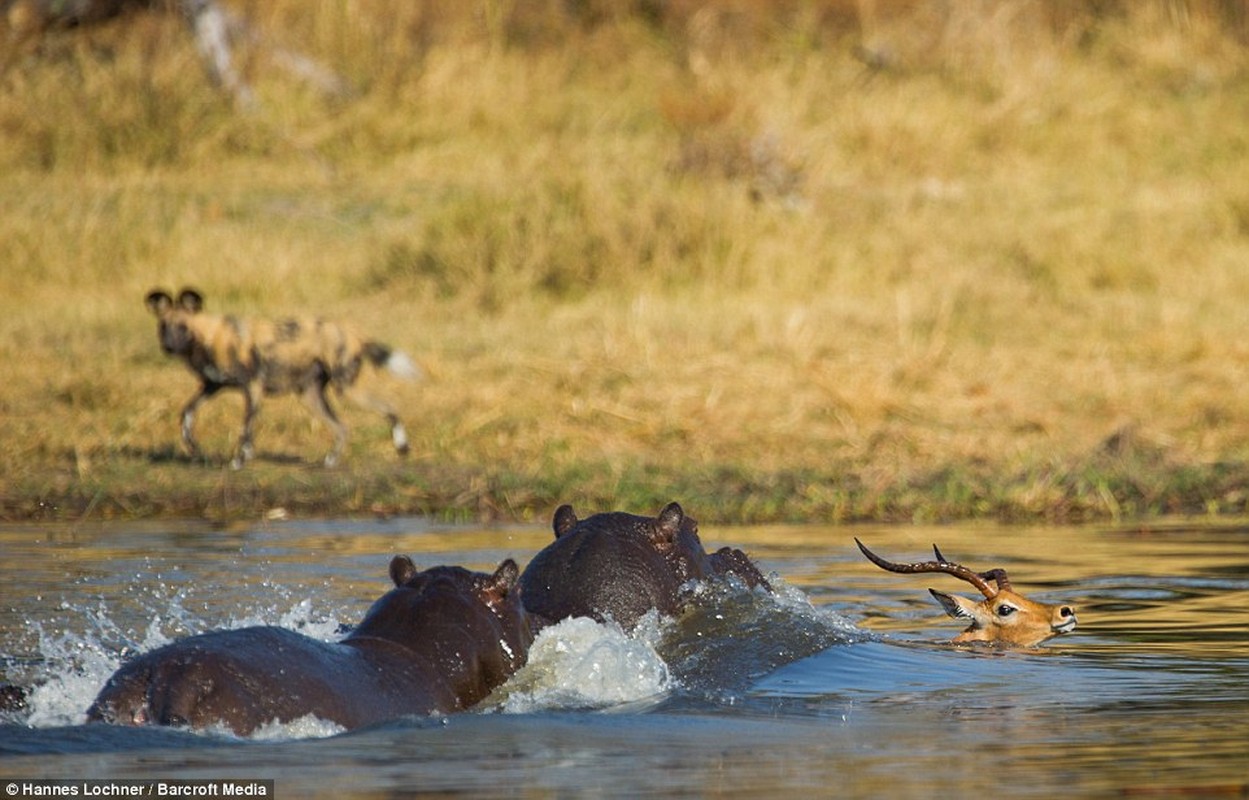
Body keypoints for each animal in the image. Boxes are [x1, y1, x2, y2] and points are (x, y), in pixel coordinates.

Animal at [145, 287, 419, 469]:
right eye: (163, 327)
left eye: (182, 327)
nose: (168, 347)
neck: (209, 337)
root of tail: (352, 332)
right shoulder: (212, 386)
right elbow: (187, 414)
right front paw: (193, 447)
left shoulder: (252, 388)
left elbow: (246, 430)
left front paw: (239, 460)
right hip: (311, 397)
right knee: (342, 428)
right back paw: (330, 461)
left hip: (346, 390)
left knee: (390, 407)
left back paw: (401, 445)